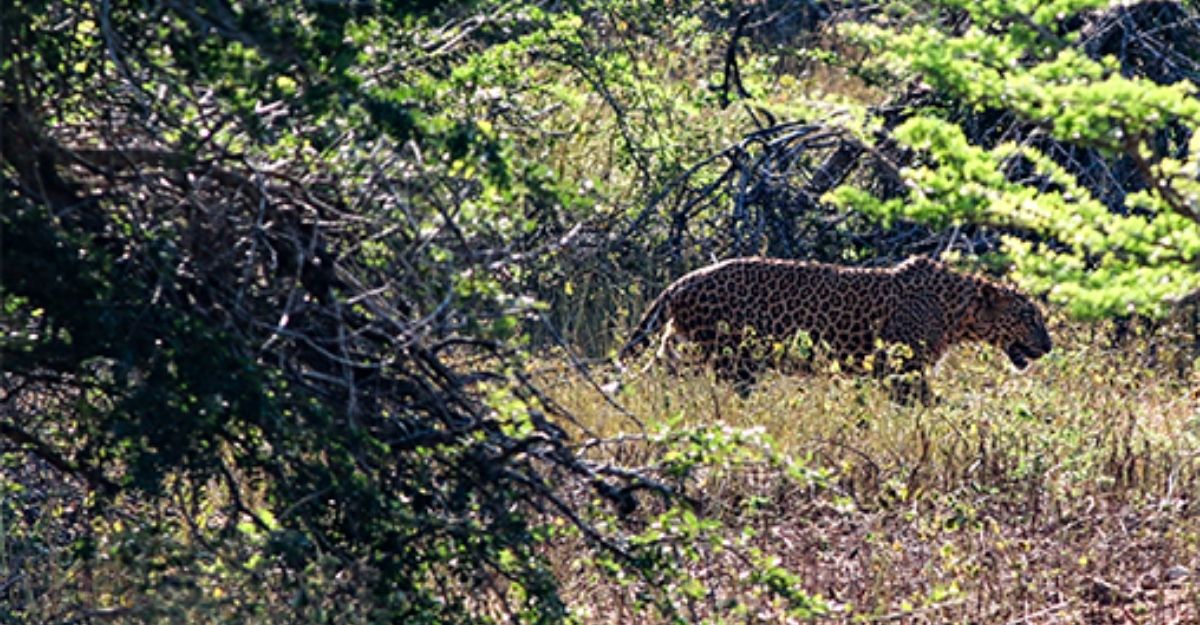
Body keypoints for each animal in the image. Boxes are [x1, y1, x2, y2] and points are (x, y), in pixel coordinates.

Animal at [619, 255, 1051, 403]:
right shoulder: (902, 370)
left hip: (679, 349)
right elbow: (930, 403)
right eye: (1028, 317)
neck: (957, 312)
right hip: (732, 357)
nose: (1048, 346)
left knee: (650, 376)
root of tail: (681, 281)